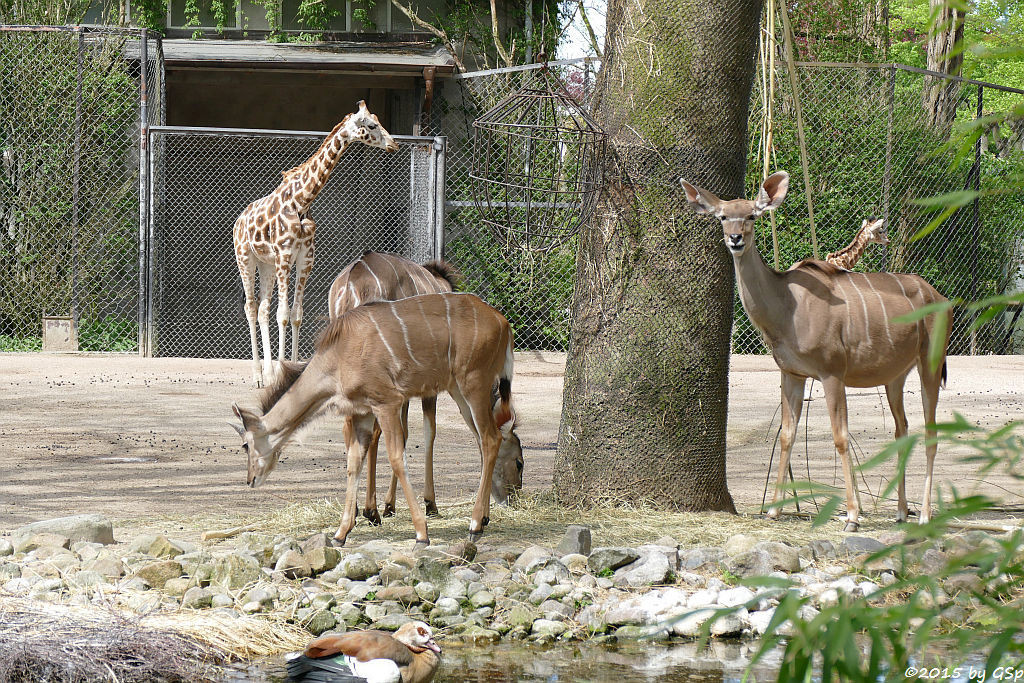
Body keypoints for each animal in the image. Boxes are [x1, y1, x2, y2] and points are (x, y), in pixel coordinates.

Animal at [232, 290, 520, 548]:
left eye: (245, 445)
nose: (250, 480)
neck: (339, 355)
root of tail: (504, 323)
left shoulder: (387, 403)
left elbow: (396, 458)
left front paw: (421, 534)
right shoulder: (363, 412)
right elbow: (353, 462)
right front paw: (340, 534)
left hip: (473, 383)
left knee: (490, 439)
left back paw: (474, 526)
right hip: (459, 390)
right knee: (484, 439)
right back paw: (483, 519)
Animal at [234, 102, 397, 389]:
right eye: (372, 125)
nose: (394, 144)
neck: (302, 201)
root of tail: (239, 220)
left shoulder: (305, 258)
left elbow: (296, 314)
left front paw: (290, 371)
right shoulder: (285, 256)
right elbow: (283, 314)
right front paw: (281, 373)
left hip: (266, 265)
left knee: (263, 309)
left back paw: (267, 374)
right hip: (245, 258)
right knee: (251, 308)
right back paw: (258, 377)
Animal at [325, 250, 520, 524]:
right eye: (519, 462)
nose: (513, 499)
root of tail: (353, 279)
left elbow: (405, 433)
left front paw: (390, 505)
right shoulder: (426, 388)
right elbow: (426, 432)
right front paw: (427, 503)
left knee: (349, 428)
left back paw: (356, 510)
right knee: (374, 433)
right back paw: (371, 510)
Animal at [679, 172, 950, 532]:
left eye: (752, 215)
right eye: (722, 216)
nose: (735, 239)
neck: (787, 306)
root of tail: (941, 298)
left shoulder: (832, 372)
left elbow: (840, 436)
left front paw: (852, 516)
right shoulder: (792, 373)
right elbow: (786, 435)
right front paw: (774, 510)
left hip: (930, 363)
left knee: (931, 431)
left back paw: (925, 515)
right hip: (895, 376)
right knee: (901, 429)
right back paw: (901, 512)